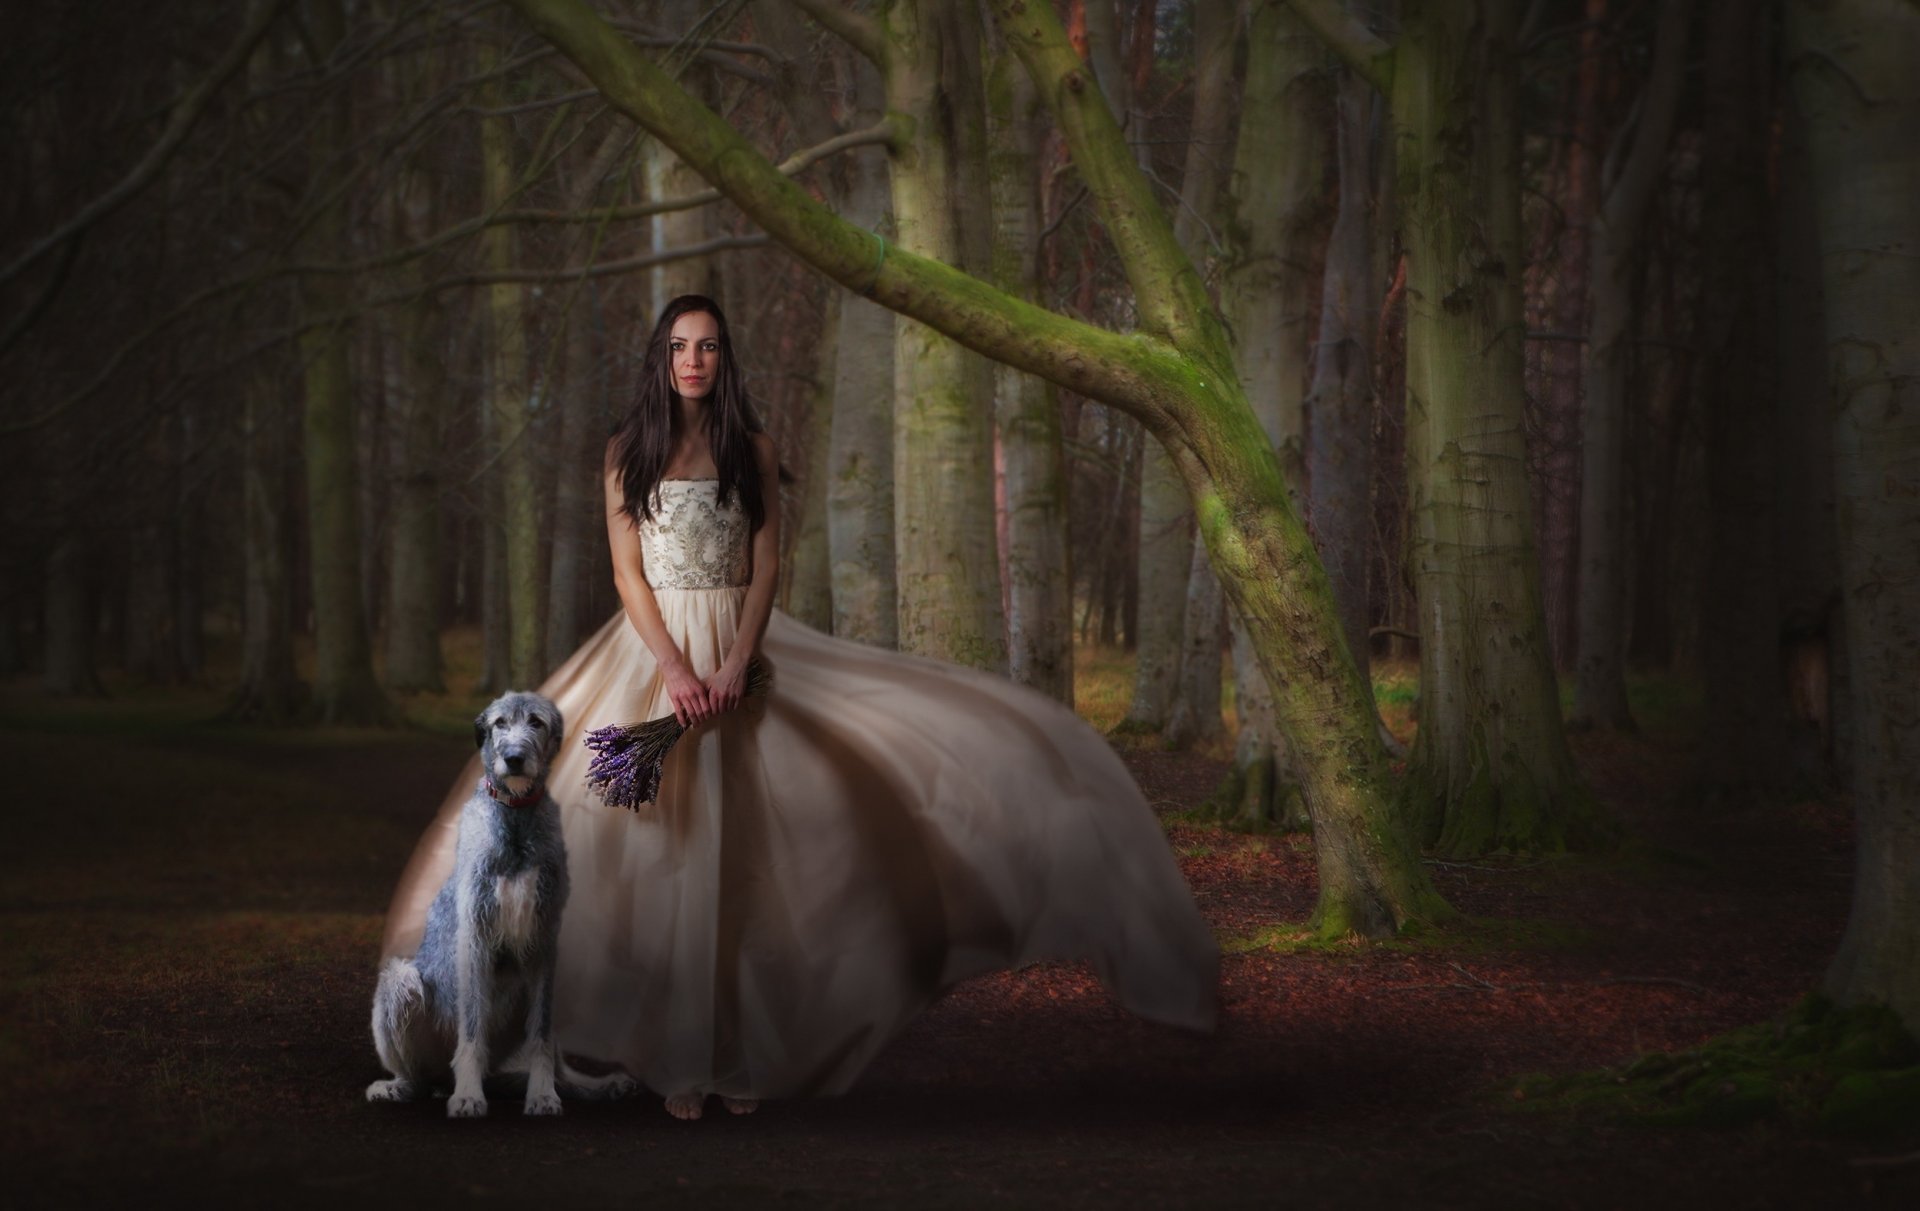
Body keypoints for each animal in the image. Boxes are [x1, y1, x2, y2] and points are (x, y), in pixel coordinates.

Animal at [370, 690, 641, 1120]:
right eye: (499, 723)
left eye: (536, 722)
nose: (514, 758)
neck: (516, 815)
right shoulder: (476, 938)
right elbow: (472, 1029)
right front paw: (468, 1096)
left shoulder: (545, 941)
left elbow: (542, 1037)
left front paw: (543, 1094)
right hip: (400, 980)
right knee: (419, 1077)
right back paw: (406, 1087)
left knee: (554, 1057)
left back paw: (600, 1086)